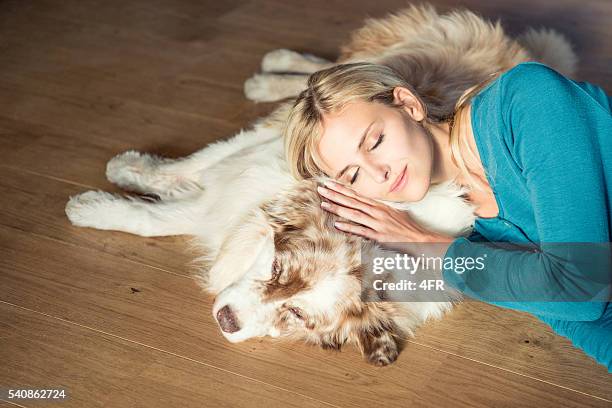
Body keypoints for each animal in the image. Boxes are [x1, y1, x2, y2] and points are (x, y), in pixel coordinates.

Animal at [67, 3, 580, 366]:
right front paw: (113, 185)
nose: (226, 320)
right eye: (276, 270)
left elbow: (168, 212)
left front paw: (109, 201)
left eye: (296, 316)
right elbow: (189, 174)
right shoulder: (266, 156)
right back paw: (276, 69)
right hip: (379, 58)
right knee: (320, 75)